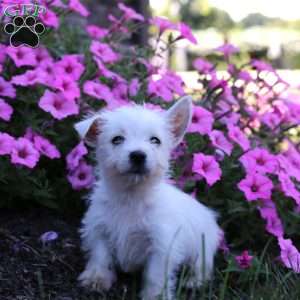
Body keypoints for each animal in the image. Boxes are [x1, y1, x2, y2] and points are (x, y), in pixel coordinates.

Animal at [75, 96, 220, 300]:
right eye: (117, 139)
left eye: (155, 140)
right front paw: (96, 279)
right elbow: (100, 256)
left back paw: (193, 282)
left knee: (200, 267)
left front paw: (155, 295)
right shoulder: (99, 229)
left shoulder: (162, 245)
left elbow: (155, 275)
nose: (138, 155)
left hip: (203, 247)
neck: (131, 196)